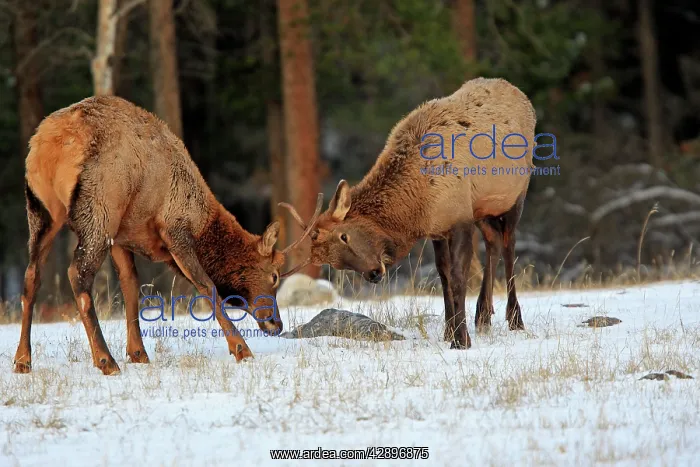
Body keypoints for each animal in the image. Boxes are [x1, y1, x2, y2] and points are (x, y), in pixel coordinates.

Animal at [13, 95, 321, 376]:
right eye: (274, 276)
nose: (276, 323)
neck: (201, 222)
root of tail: (48, 144)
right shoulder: (174, 229)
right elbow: (206, 285)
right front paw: (241, 349)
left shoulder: (122, 235)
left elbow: (130, 285)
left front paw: (138, 353)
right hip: (99, 209)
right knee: (77, 274)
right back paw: (105, 360)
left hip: (42, 211)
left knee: (31, 276)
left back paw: (23, 360)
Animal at [281, 77, 538, 349]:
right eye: (334, 263)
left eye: (344, 236)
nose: (374, 274)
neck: (418, 208)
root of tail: (522, 97)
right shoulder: (440, 228)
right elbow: (444, 276)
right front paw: (449, 332)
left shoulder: (460, 218)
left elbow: (458, 276)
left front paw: (461, 340)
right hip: (482, 209)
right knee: (493, 240)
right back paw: (483, 316)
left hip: (516, 193)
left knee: (509, 245)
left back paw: (515, 320)